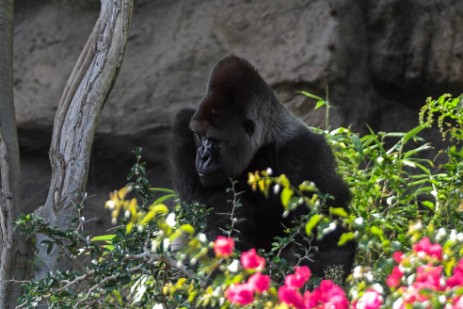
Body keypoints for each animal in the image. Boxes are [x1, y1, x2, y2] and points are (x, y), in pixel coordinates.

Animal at [172, 55, 358, 276]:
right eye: (200, 136)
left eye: (215, 141)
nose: (203, 157)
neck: (267, 139)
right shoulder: (183, 126)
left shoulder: (308, 152)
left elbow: (328, 232)